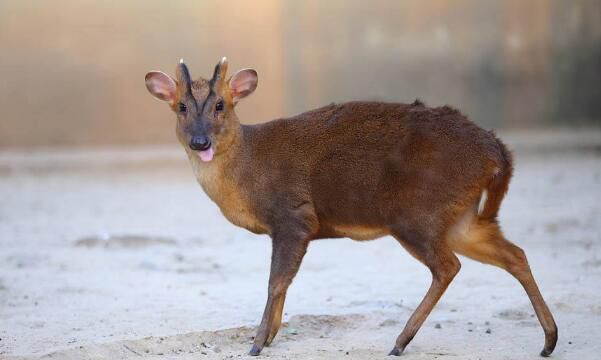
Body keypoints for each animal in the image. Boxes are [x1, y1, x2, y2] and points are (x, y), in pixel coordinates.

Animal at [145, 57, 556, 356]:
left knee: (448, 266)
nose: (200, 142)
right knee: (514, 254)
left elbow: (276, 281)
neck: (248, 170)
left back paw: (399, 342)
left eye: (220, 105)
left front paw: (258, 342)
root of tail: (495, 151)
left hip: (415, 213)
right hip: (461, 217)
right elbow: (282, 283)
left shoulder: (294, 215)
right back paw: (549, 340)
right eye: (181, 106)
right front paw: (271, 335)